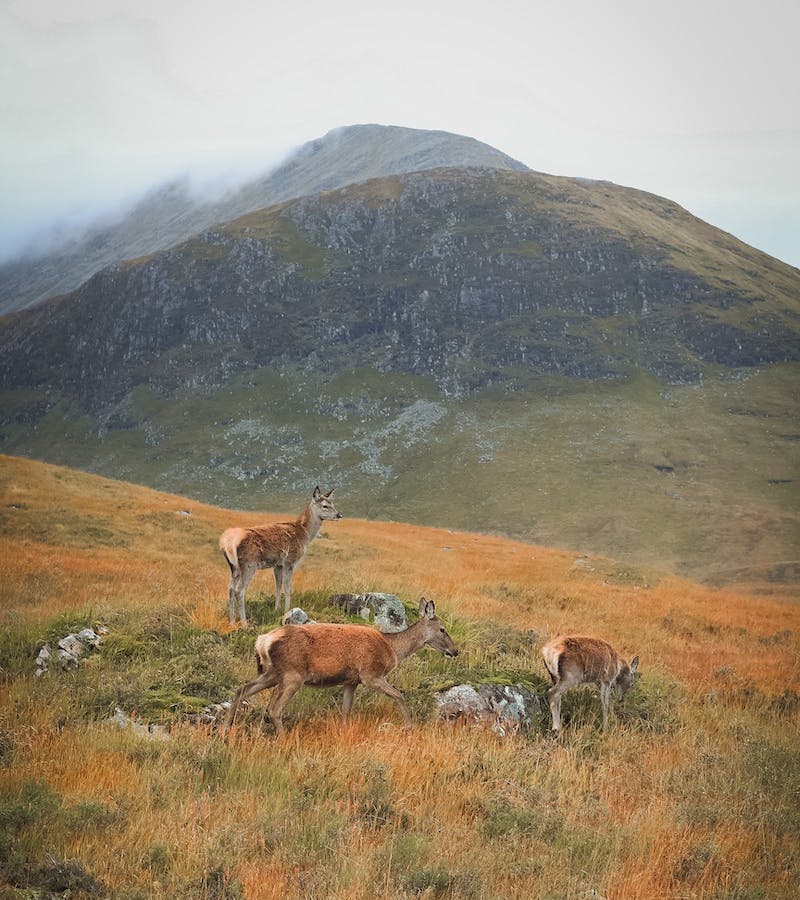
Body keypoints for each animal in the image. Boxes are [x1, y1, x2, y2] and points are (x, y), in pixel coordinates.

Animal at [220, 486, 342, 624]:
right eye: (325, 505)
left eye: (333, 503)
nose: (339, 515)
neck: (304, 534)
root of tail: (227, 543)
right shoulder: (290, 560)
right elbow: (287, 587)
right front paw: (287, 611)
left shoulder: (277, 564)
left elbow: (278, 586)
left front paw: (276, 609)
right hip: (248, 565)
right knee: (239, 590)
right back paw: (245, 623)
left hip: (234, 567)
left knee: (230, 588)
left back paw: (232, 621)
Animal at [228, 596, 460, 732]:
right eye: (442, 629)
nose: (455, 651)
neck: (392, 648)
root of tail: (262, 641)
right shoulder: (370, 674)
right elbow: (399, 695)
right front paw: (409, 727)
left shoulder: (351, 681)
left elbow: (346, 710)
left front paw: (345, 732)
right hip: (292, 674)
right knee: (274, 708)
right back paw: (283, 737)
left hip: (271, 673)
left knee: (241, 691)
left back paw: (226, 730)